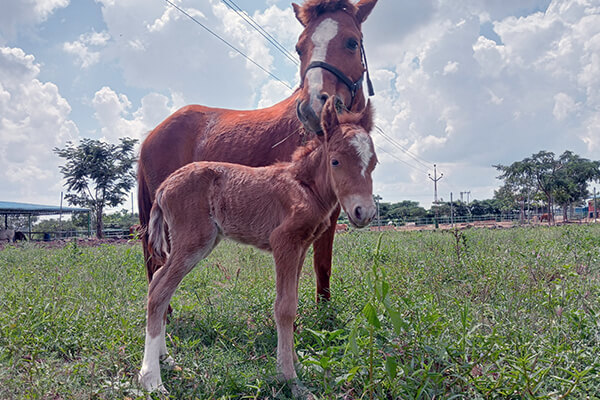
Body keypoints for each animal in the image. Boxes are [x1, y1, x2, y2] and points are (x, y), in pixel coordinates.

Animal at [138, 0, 378, 304]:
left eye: (352, 42)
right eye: (299, 48)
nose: (312, 107)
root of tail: (152, 133)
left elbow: (323, 262)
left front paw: (323, 308)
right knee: (159, 267)